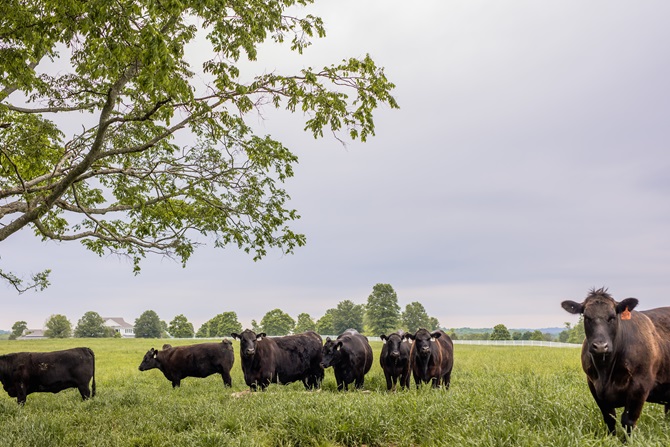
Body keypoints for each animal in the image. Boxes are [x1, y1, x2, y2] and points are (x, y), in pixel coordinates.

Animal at [562, 287, 670, 435]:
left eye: (612, 317)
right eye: (587, 317)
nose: (600, 346)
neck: (605, 372)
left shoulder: (641, 384)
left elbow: (628, 421)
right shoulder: (593, 384)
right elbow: (609, 418)